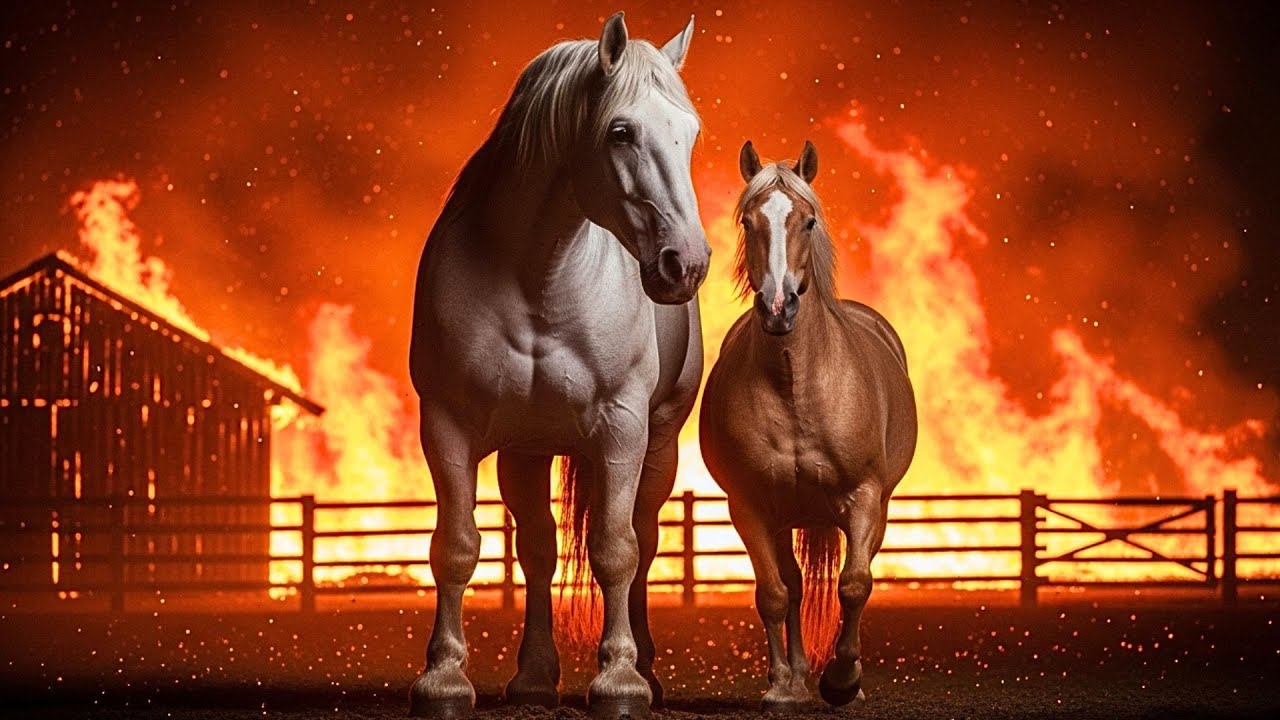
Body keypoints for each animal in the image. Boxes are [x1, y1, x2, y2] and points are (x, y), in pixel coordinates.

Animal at [407, 11, 709, 720]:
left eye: (689, 133)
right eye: (620, 132)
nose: (685, 263)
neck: (538, 275)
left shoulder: (623, 428)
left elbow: (617, 549)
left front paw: (621, 682)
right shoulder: (447, 427)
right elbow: (455, 547)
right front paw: (443, 680)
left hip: (658, 442)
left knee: (644, 541)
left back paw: (646, 670)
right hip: (526, 449)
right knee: (539, 550)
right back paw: (535, 677)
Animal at [699, 141, 918, 711]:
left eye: (809, 221)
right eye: (748, 220)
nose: (778, 307)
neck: (797, 385)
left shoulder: (864, 498)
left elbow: (855, 584)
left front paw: (842, 681)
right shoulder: (749, 507)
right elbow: (774, 594)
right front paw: (781, 684)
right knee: (794, 586)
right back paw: (797, 677)